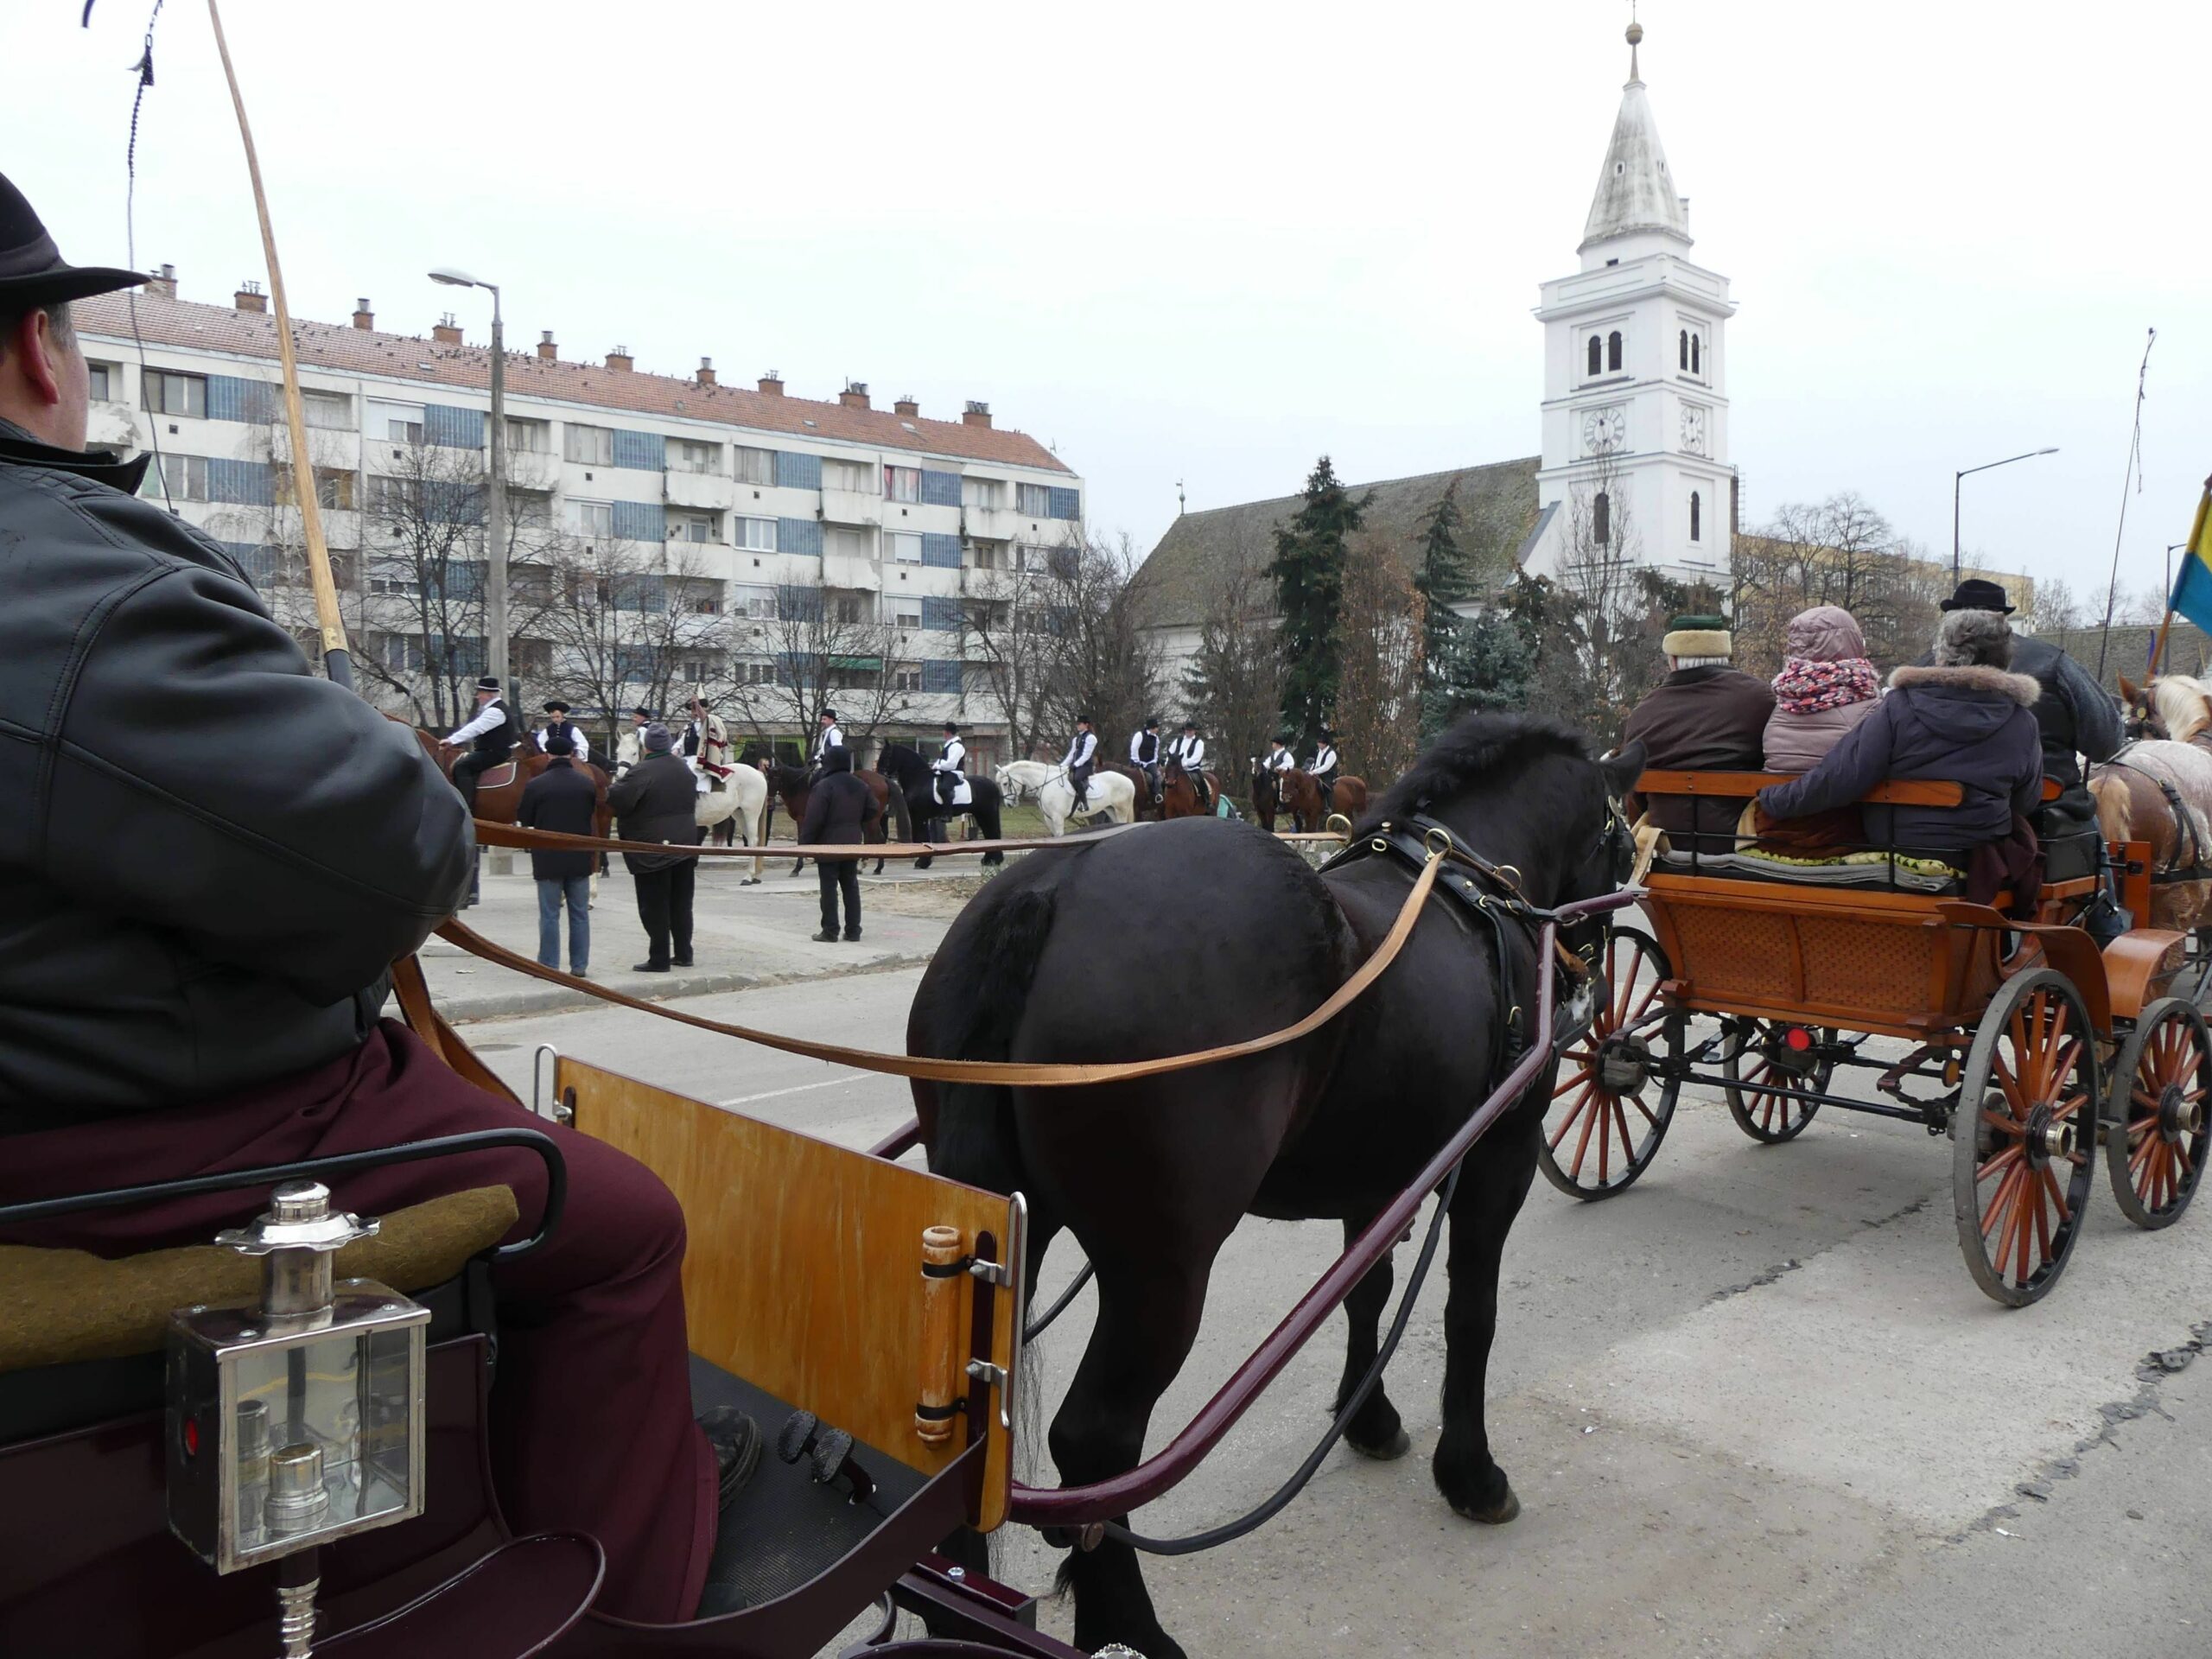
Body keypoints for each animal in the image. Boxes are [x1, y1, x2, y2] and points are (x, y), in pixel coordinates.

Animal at [614, 729, 769, 885]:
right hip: (739, 814)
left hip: (751, 814)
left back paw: (748, 876)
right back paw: (754, 875)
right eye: (617, 752)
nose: (621, 776)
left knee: (753, 840)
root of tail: (757, 773)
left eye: (634, 753)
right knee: (750, 839)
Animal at [871, 752, 1013, 875]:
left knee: (993, 833)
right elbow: (920, 838)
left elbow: (921, 838)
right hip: (981, 814)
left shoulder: (919, 816)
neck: (920, 781)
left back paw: (993, 860)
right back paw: (991, 860)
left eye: (887, 755)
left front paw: (922, 863)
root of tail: (993, 785)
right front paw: (923, 862)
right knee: (990, 834)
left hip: (987, 813)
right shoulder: (918, 817)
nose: (879, 775)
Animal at [1004, 760, 1141, 836]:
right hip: (1111, 809)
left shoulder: (1058, 818)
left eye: (1005, 783)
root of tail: (1129, 781)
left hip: (1121, 810)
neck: (1046, 783)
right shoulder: (1049, 819)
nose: (1008, 805)